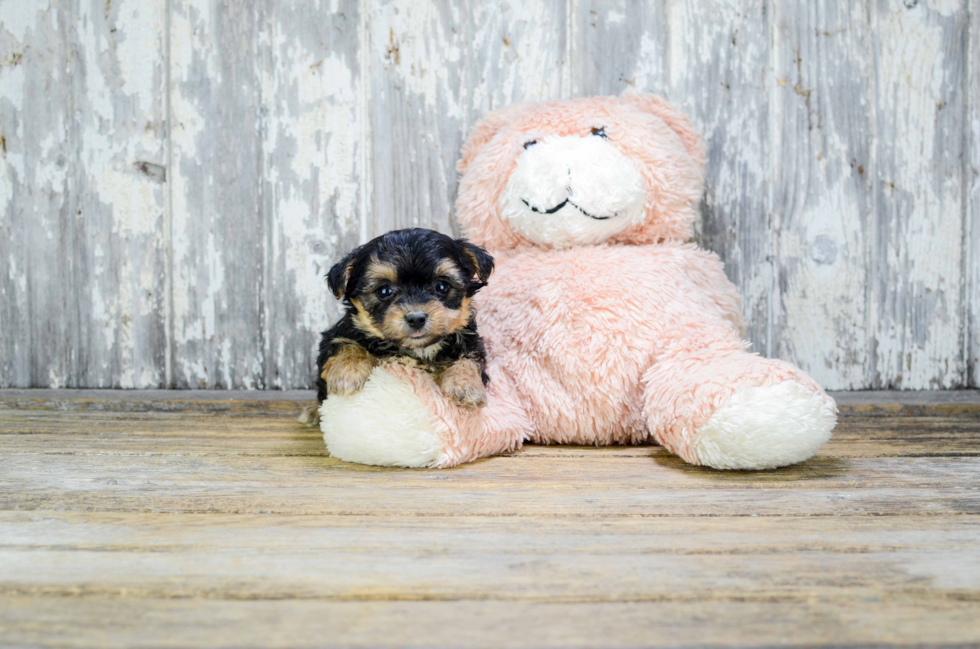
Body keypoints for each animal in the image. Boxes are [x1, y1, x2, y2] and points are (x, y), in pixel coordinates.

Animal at [298, 227, 494, 426]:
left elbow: (469, 358)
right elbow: (345, 343)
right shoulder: (337, 334)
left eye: (442, 286)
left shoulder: (472, 342)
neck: (416, 349)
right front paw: (347, 372)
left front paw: (465, 385)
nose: (416, 318)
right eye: (384, 291)